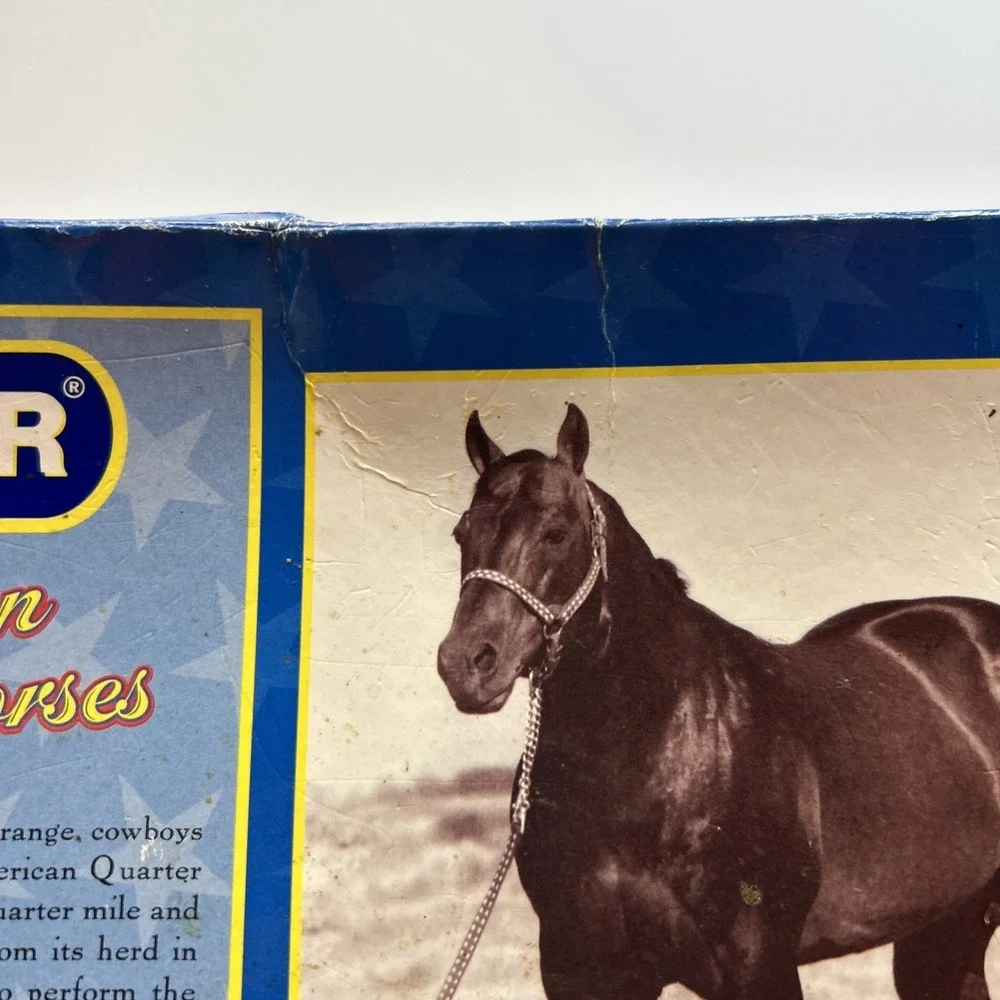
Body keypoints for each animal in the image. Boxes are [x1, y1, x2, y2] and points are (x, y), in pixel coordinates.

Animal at [436, 402, 1000, 1000]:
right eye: (462, 532)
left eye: (556, 533)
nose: (466, 664)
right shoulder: (582, 970)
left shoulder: (758, 965)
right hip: (944, 929)